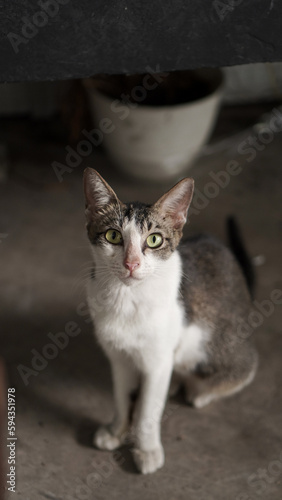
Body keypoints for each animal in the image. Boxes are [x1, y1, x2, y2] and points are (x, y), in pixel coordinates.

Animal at [83, 167, 258, 472]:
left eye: (154, 239)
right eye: (113, 236)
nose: (131, 263)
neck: (126, 298)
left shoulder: (157, 360)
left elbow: (147, 410)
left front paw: (147, 449)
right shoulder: (118, 357)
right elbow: (121, 397)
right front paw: (117, 430)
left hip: (213, 350)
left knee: (243, 369)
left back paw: (201, 392)